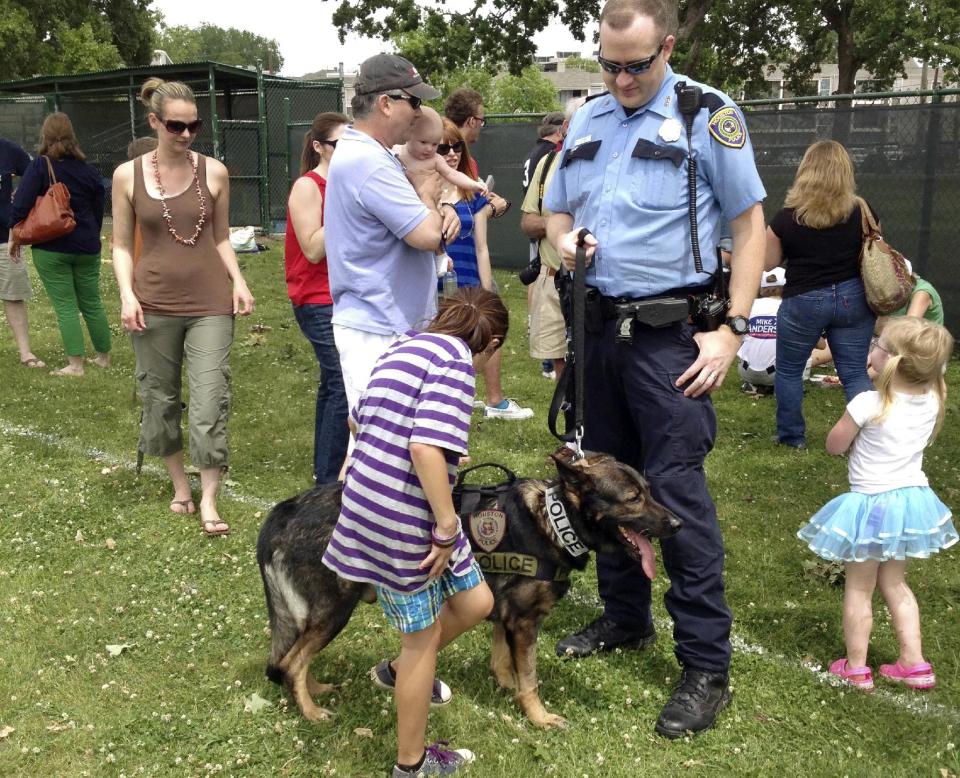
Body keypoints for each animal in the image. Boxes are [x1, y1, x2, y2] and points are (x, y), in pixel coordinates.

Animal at [255, 448, 684, 728]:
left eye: (648, 490)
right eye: (633, 498)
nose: (678, 524)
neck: (554, 519)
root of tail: (285, 510)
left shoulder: (505, 617)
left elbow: (504, 664)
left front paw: (509, 691)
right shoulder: (524, 622)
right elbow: (530, 677)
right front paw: (539, 717)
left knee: (292, 658)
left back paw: (312, 690)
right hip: (335, 610)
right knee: (292, 661)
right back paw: (310, 711)